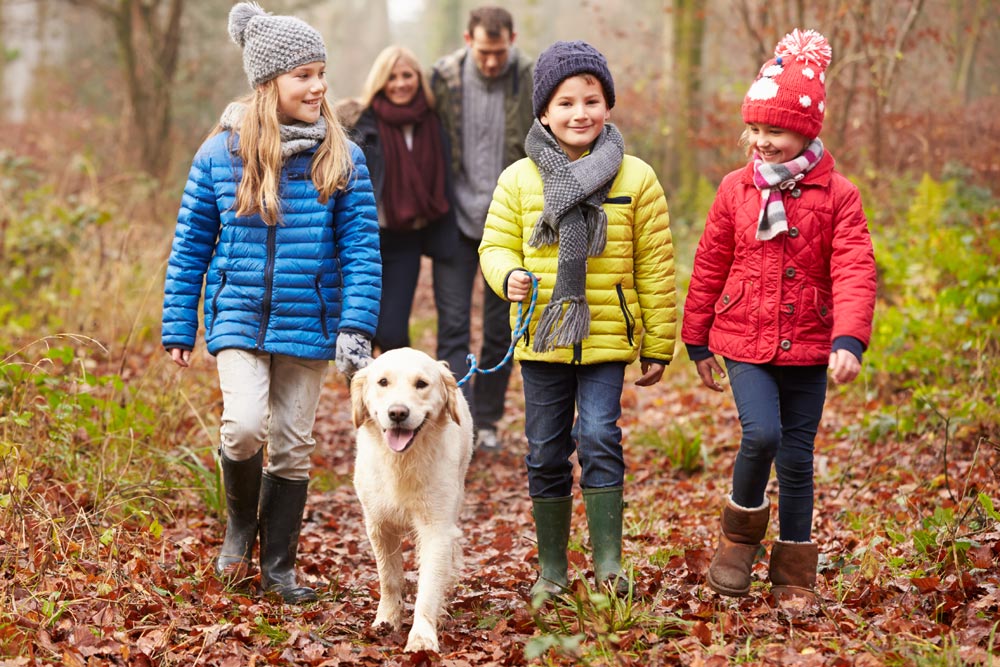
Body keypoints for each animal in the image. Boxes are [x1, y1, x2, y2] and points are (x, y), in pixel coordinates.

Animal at [350, 348, 474, 656]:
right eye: (383, 382)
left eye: (421, 384)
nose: (397, 413)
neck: (402, 461)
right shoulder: (378, 525)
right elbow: (389, 578)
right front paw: (386, 620)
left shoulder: (436, 529)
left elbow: (428, 586)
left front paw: (422, 637)